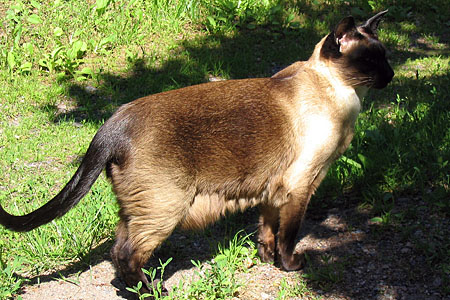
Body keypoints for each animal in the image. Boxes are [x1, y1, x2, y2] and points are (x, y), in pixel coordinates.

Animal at [0, 9, 392, 292]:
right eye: (372, 62)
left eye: (385, 59)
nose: (389, 75)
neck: (339, 92)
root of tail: (113, 121)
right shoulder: (300, 186)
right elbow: (288, 235)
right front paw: (290, 266)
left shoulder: (273, 190)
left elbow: (266, 231)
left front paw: (265, 260)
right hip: (165, 207)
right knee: (126, 254)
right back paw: (152, 292)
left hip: (141, 208)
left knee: (117, 249)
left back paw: (139, 290)